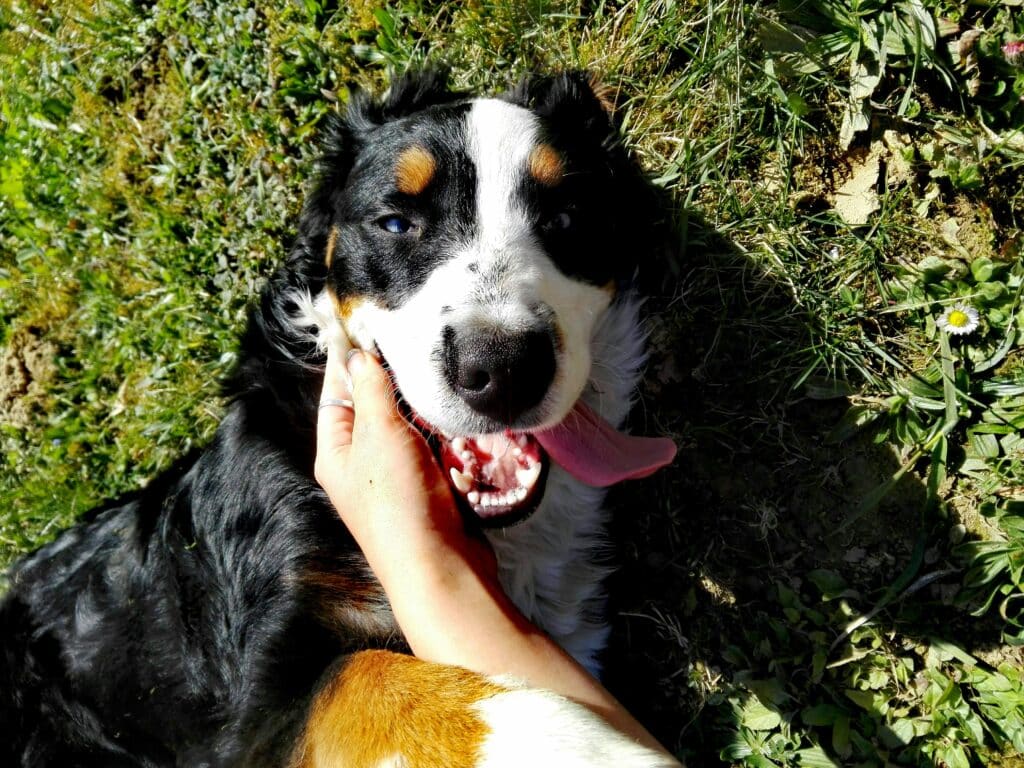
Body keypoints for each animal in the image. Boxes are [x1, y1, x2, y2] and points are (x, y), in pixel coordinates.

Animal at [0, 69, 679, 765]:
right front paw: (573, 745)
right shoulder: (255, 713)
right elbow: (359, 676)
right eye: (396, 222)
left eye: (568, 217)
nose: (503, 367)